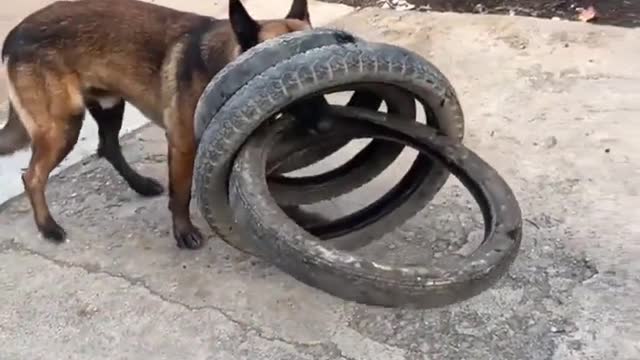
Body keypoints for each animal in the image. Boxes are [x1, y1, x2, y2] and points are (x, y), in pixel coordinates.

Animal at [0, 0, 312, 248]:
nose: (320, 124)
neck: (223, 64)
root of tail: (14, 34)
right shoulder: (183, 144)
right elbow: (181, 193)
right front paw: (183, 232)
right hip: (63, 126)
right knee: (33, 176)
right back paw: (48, 227)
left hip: (110, 105)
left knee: (108, 147)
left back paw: (140, 185)